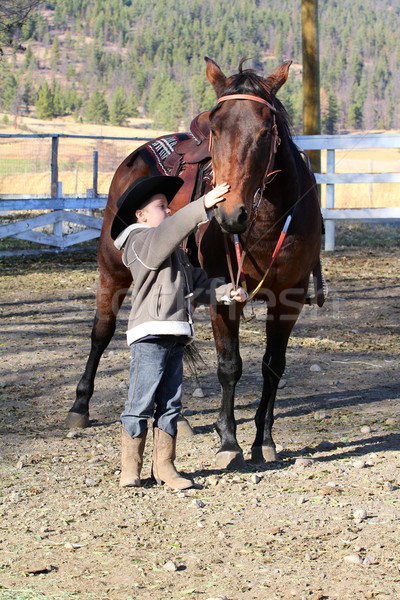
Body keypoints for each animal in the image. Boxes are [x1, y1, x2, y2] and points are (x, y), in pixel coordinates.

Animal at [66, 57, 322, 468]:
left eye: (266, 130)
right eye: (216, 128)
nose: (230, 213)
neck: (267, 221)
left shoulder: (290, 299)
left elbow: (273, 366)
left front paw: (263, 440)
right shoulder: (224, 297)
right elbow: (229, 366)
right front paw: (229, 441)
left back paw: (180, 419)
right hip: (111, 270)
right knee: (101, 332)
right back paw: (80, 406)